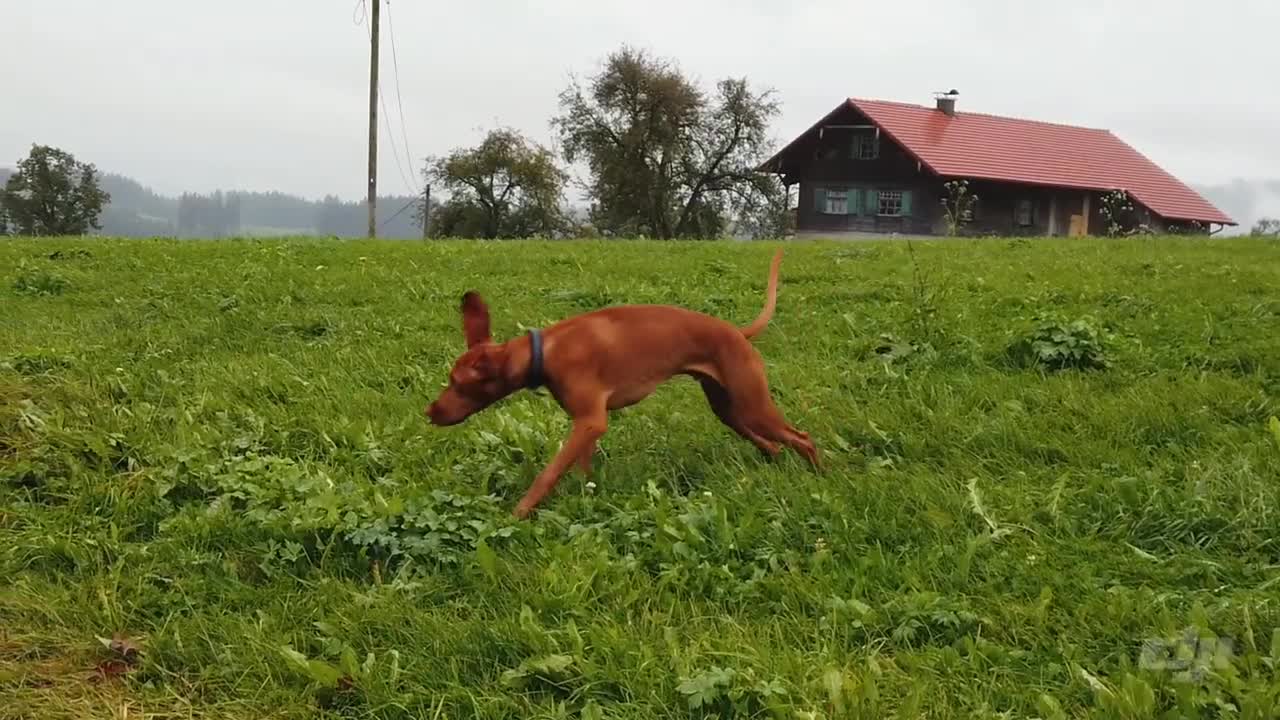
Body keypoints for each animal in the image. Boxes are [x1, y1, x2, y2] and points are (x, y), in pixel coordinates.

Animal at [422, 248, 819, 515]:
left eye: (457, 383)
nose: (429, 412)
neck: (544, 351)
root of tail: (737, 332)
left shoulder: (591, 421)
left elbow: (548, 473)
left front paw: (520, 512)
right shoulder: (585, 425)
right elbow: (582, 468)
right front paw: (587, 496)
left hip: (752, 406)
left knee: (803, 437)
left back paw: (820, 474)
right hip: (729, 409)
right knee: (774, 444)